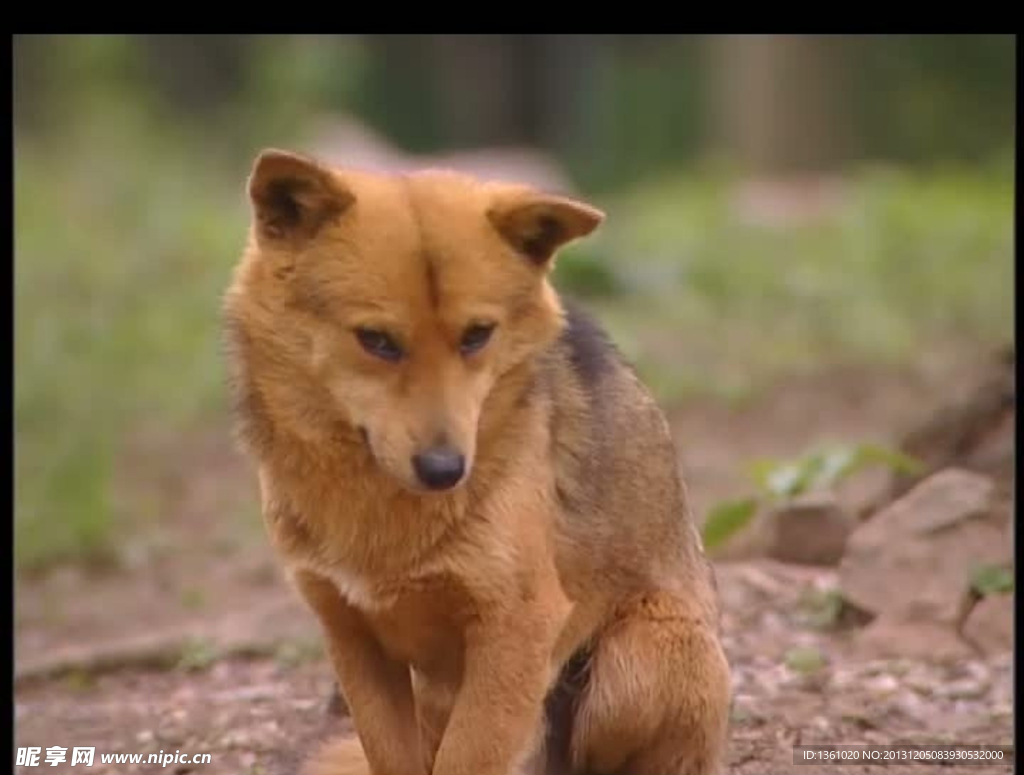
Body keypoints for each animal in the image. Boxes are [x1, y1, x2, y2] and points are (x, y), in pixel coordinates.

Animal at [221, 148, 733, 769]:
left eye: (477, 335)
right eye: (376, 340)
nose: (445, 471)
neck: (380, 510)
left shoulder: (517, 625)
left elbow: (469, 758)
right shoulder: (351, 636)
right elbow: (393, 758)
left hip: (642, 658)